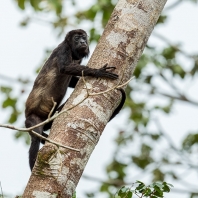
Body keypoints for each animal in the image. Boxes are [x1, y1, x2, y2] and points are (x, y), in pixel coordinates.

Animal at [24, 29, 125, 170]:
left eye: (84, 37)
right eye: (77, 38)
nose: (83, 42)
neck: (73, 52)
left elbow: (71, 79)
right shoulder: (64, 49)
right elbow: (64, 68)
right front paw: (98, 71)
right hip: (32, 121)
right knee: (35, 140)